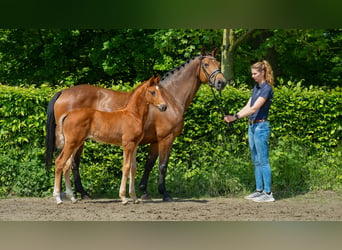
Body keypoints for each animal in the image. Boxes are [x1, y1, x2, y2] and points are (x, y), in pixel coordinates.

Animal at [51, 76, 167, 205]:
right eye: (152, 92)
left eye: (160, 91)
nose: (164, 106)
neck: (133, 115)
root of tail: (68, 114)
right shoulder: (127, 144)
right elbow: (126, 167)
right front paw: (123, 197)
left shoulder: (135, 145)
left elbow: (133, 168)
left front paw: (134, 198)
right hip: (71, 143)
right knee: (59, 162)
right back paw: (58, 198)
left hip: (76, 143)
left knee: (67, 165)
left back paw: (72, 197)